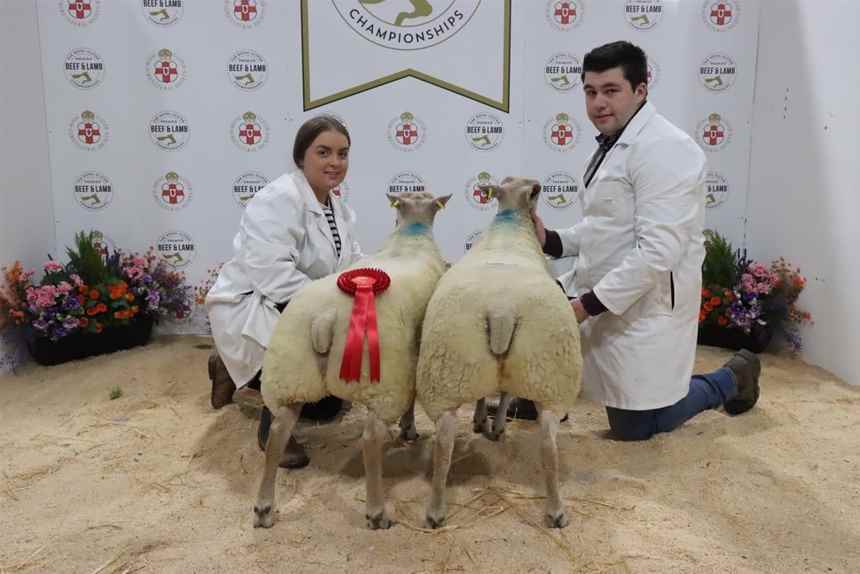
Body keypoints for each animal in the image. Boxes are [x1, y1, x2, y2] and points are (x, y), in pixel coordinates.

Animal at [254, 192, 450, 532]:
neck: (410, 235)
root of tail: (325, 317)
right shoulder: (411, 353)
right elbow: (411, 401)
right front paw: (409, 429)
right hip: (383, 380)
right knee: (370, 438)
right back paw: (376, 512)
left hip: (290, 373)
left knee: (278, 433)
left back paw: (264, 508)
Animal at [414, 177, 580, 532]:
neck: (510, 222)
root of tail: (501, 311)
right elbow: (503, 394)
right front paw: (496, 425)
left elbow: (486, 393)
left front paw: (481, 420)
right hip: (545, 373)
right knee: (543, 444)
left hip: (460, 369)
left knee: (449, 442)